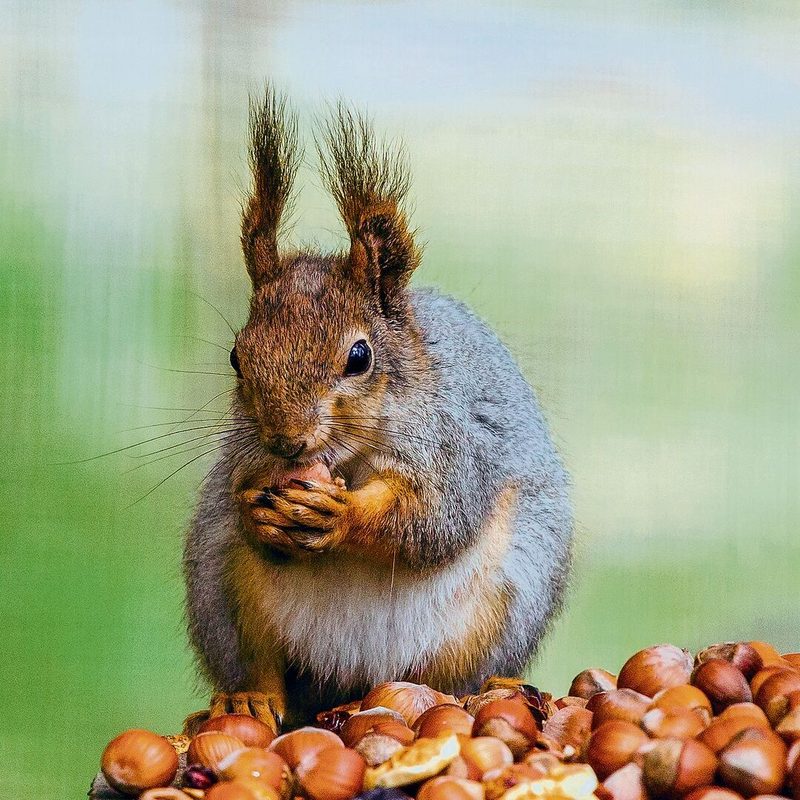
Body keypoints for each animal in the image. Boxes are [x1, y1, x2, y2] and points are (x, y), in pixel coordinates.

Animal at [182, 87, 573, 735]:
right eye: (238, 356)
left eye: (359, 356)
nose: (286, 441)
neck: (351, 458)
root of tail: (354, 683)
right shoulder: (242, 461)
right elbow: (249, 505)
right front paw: (261, 512)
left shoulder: (456, 448)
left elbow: (432, 521)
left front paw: (343, 516)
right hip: (225, 591)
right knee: (265, 666)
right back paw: (248, 700)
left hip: (501, 603)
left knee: (446, 675)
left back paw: (468, 697)